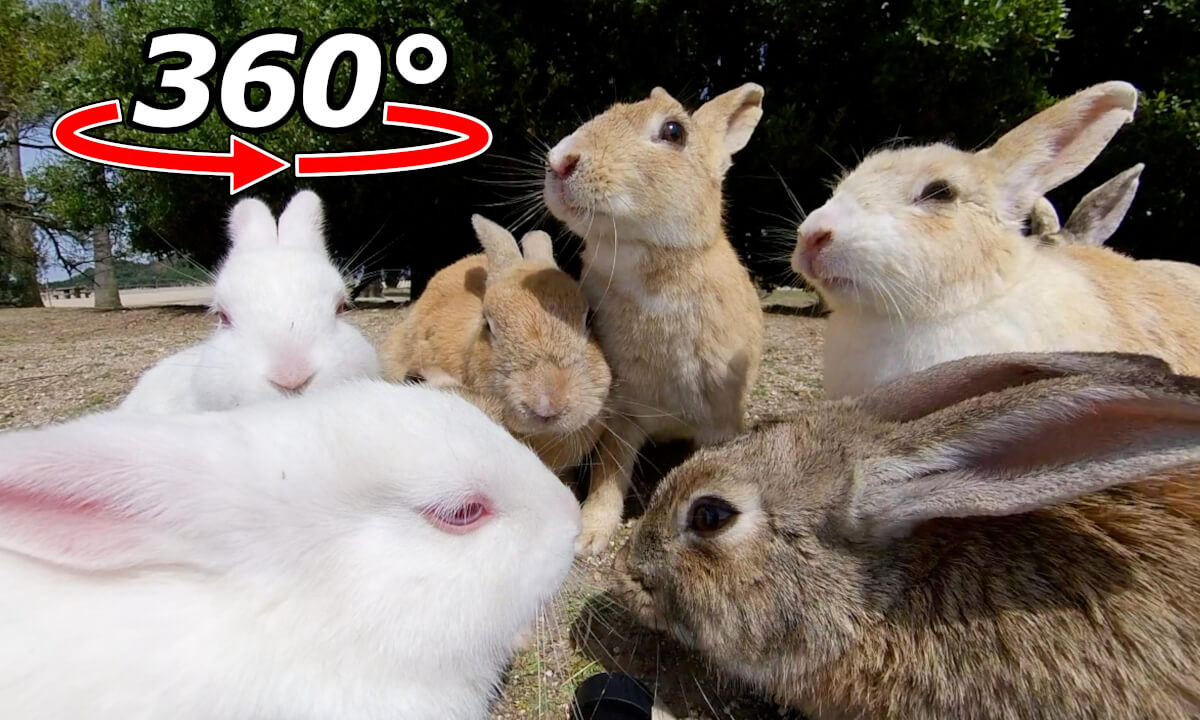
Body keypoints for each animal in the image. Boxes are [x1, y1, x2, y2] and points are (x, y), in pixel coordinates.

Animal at [543, 84, 766, 554]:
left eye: (674, 131)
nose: (559, 161)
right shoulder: (622, 414)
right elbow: (609, 474)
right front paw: (590, 536)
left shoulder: (717, 419)